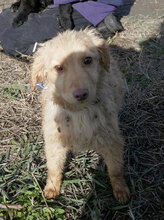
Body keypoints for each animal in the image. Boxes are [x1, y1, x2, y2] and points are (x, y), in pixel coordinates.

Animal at [30, 28, 130, 204]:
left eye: (87, 60)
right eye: (59, 68)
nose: (81, 94)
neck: (79, 112)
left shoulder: (111, 140)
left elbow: (115, 169)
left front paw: (120, 189)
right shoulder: (54, 141)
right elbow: (54, 167)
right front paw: (52, 188)